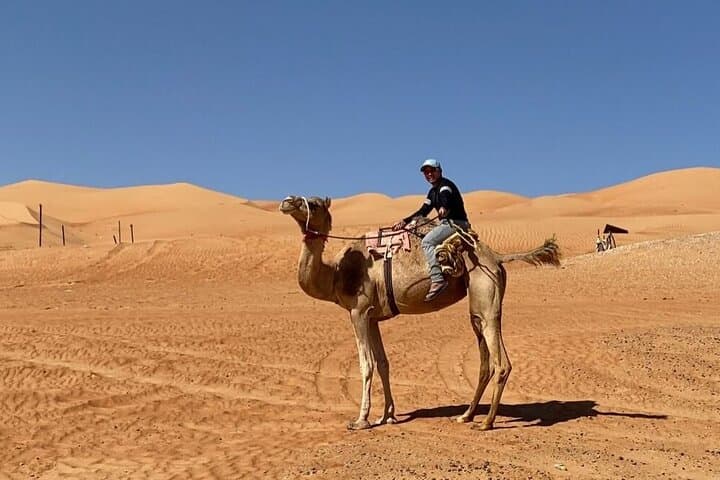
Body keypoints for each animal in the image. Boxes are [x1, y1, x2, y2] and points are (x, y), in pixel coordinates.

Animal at [279, 195, 560, 431]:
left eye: (313, 203)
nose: (286, 201)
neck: (337, 272)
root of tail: (497, 257)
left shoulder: (358, 311)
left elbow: (366, 364)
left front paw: (361, 421)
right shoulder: (372, 316)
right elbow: (383, 363)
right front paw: (387, 416)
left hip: (485, 294)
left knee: (500, 363)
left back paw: (486, 423)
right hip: (480, 306)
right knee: (486, 360)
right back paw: (467, 415)